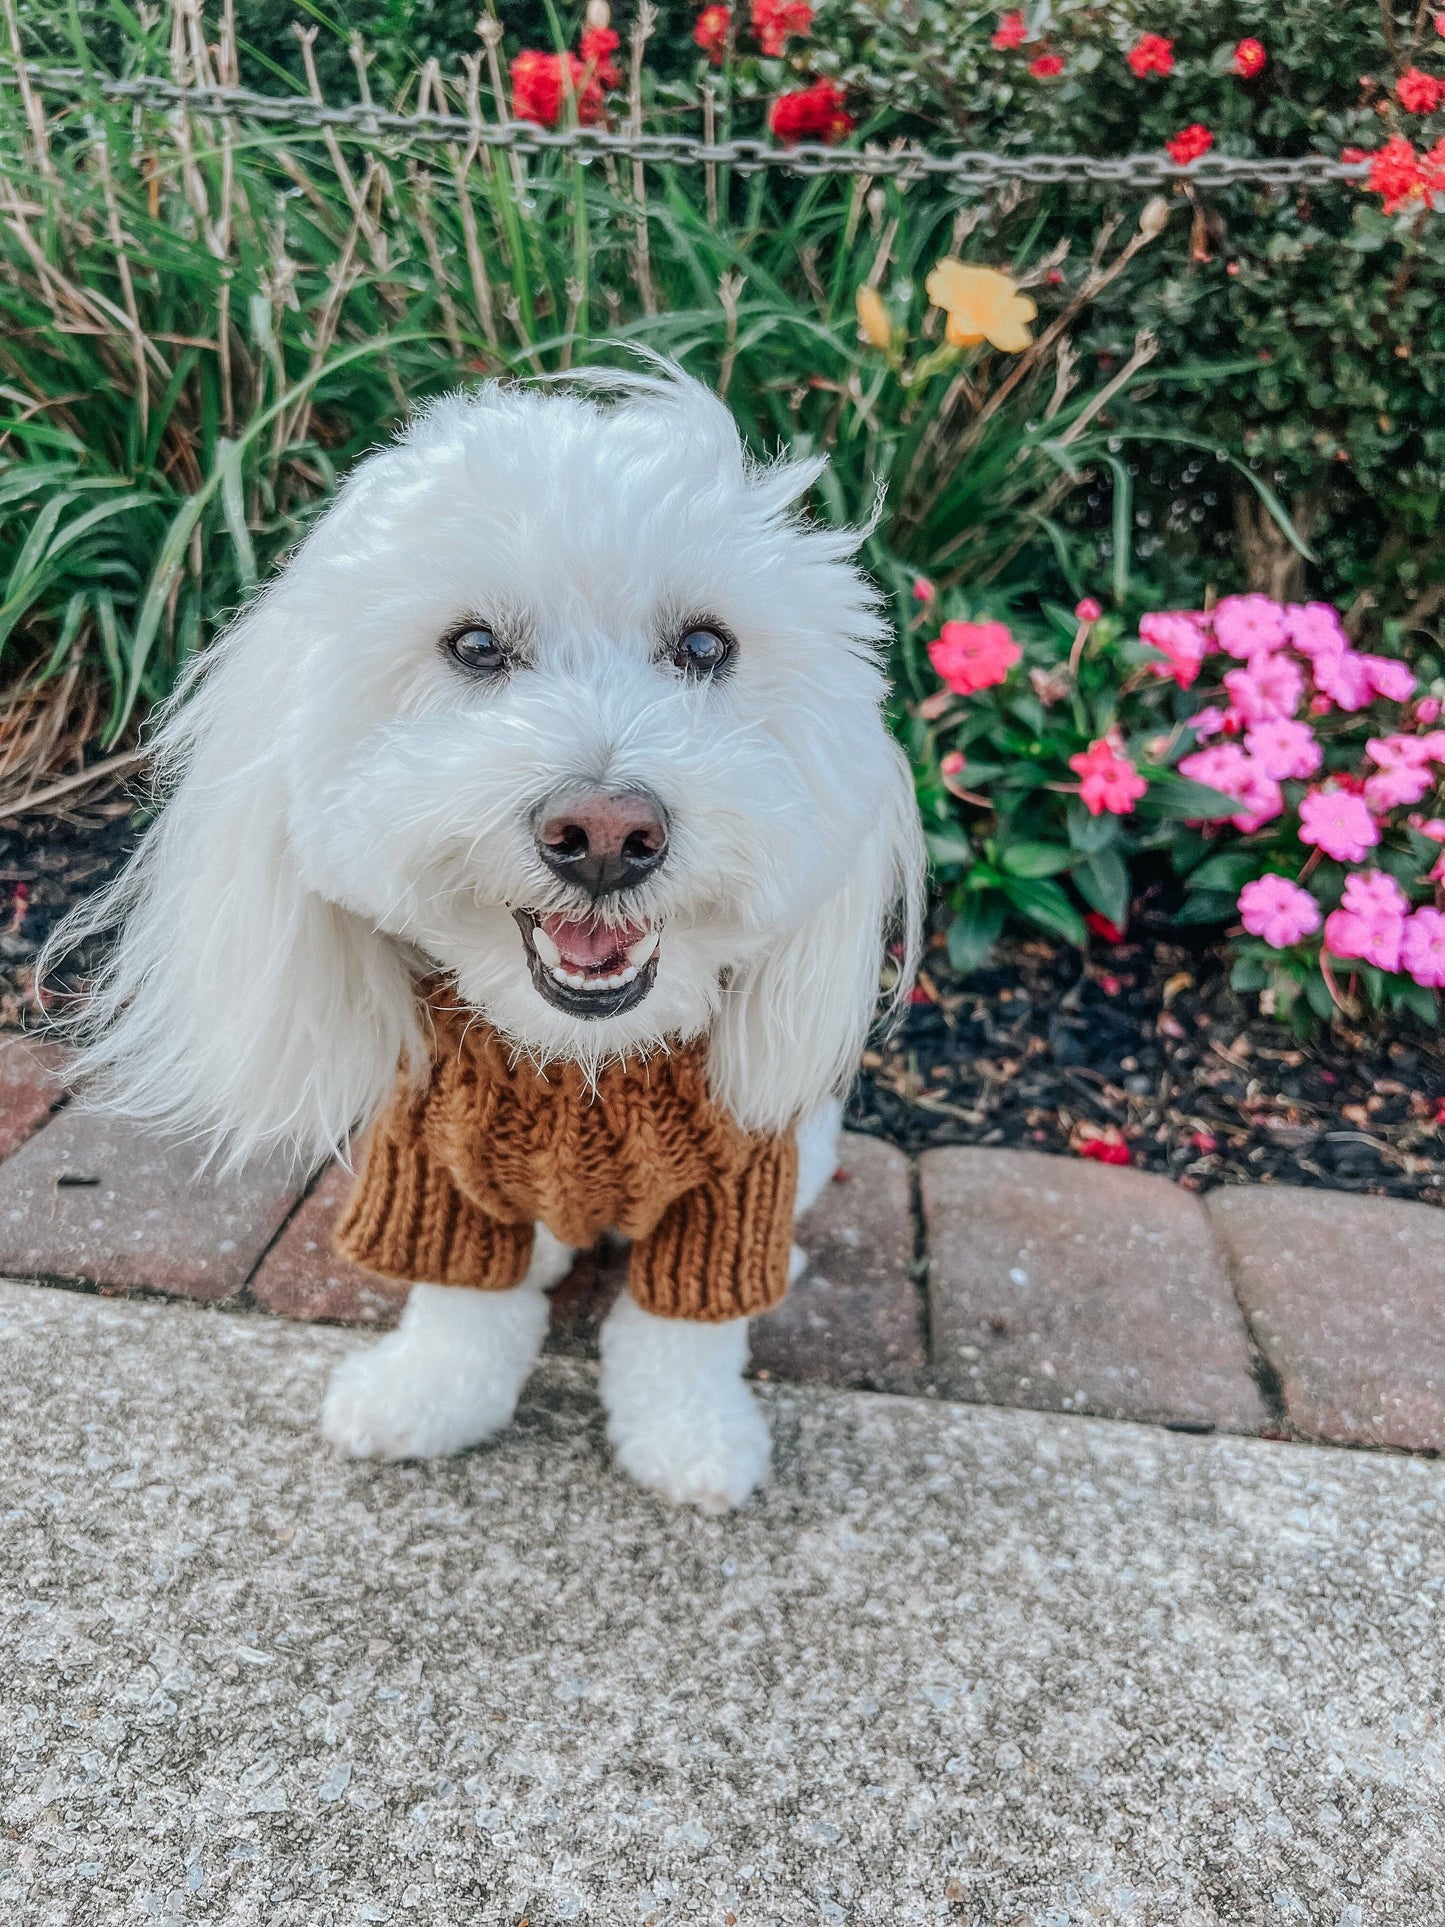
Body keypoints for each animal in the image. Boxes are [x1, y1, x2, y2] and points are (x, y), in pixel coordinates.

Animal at [59, 362, 928, 1503]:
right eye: (473, 646)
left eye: (706, 645)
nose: (604, 835)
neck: (583, 1069)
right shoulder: (432, 1162)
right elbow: (462, 1302)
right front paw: (425, 1394)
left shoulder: (735, 1184)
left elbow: (682, 1330)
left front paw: (690, 1436)